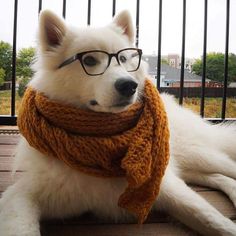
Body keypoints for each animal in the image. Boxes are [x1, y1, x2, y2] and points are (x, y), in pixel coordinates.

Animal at [0, 9, 236, 236]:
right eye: (89, 60)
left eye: (122, 59)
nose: (129, 86)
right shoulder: (22, 195)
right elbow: (22, 227)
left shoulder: (166, 185)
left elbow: (210, 218)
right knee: (216, 176)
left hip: (199, 155)